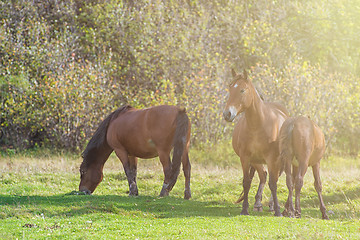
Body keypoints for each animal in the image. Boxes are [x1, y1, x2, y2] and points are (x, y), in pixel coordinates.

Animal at [222, 69, 290, 216]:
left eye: (242, 90)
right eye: (230, 89)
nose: (227, 114)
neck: (258, 125)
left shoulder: (271, 158)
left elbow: (273, 184)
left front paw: (277, 211)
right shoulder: (245, 158)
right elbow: (246, 182)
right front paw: (244, 209)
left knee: (275, 178)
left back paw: (271, 205)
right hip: (256, 161)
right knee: (263, 175)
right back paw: (258, 204)